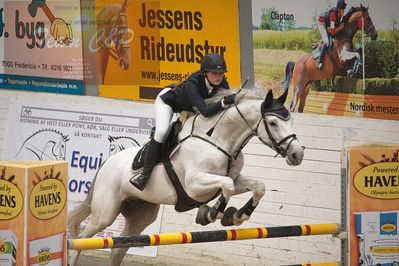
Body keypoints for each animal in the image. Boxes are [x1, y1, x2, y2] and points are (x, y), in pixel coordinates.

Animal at [69, 87, 306, 264]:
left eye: (291, 120)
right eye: (273, 123)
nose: (297, 154)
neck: (218, 140)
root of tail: (107, 163)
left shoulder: (235, 179)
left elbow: (257, 186)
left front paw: (237, 216)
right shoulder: (194, 185)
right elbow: (227, 185)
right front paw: (211, 214)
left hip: (141, 215)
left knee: (119, 247)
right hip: (105, 213)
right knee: (80, 240)